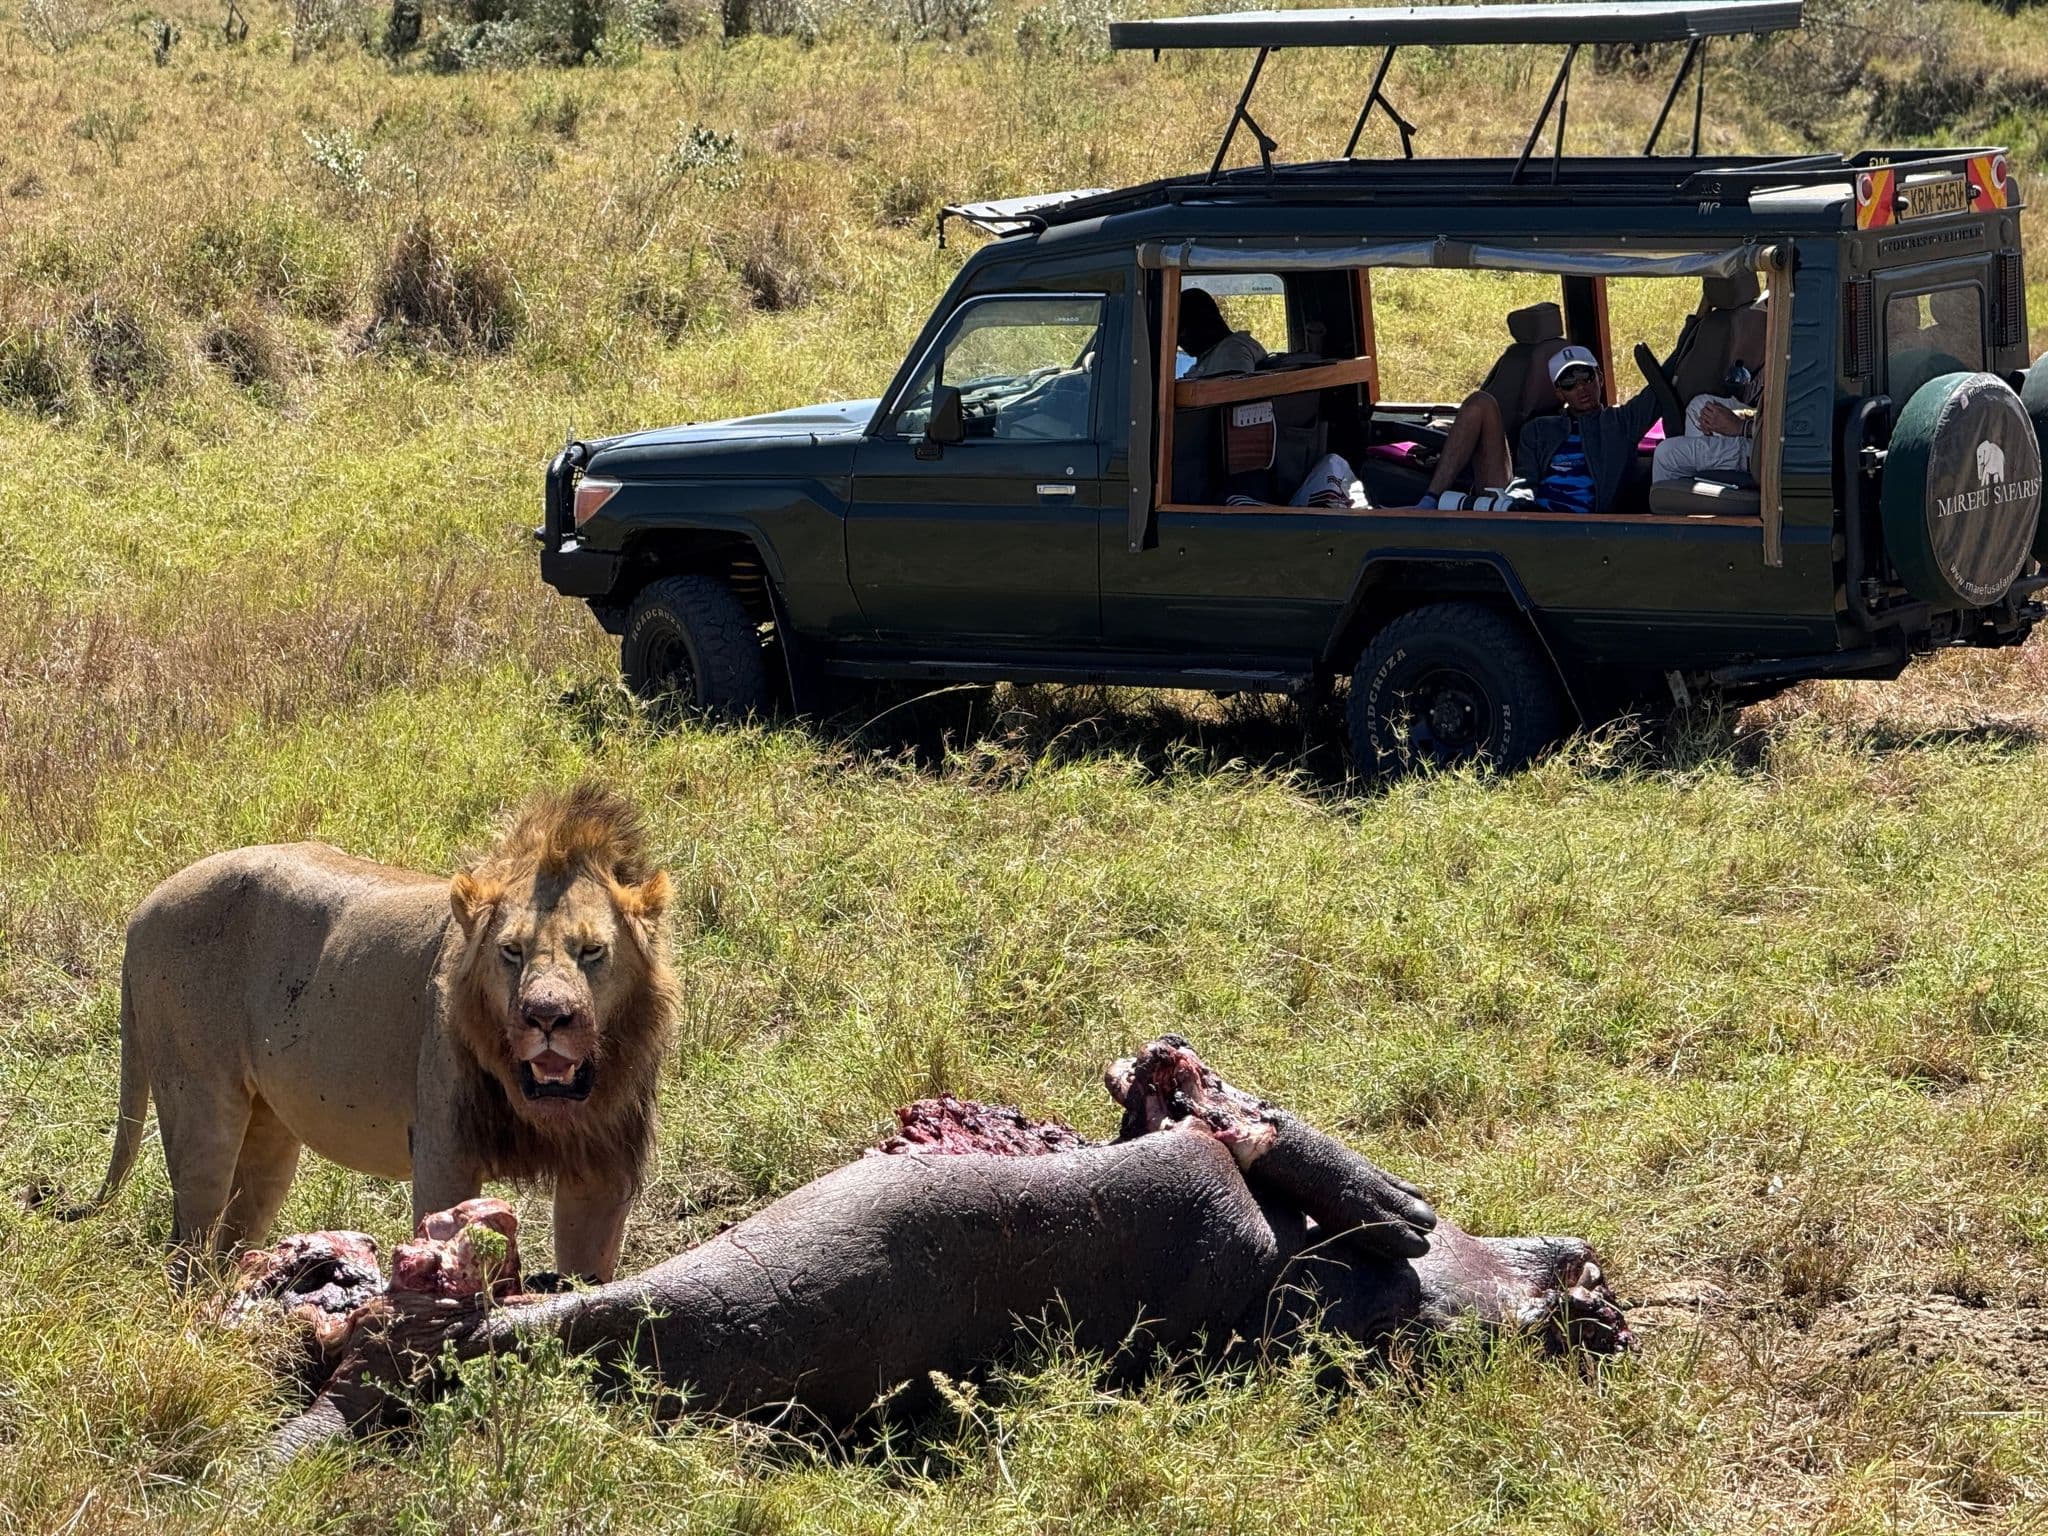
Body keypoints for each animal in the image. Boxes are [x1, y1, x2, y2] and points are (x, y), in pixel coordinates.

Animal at [81, 784, 677, 1281]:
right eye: (512, 951)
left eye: (592, 951)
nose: (547, 1017)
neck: (550, 1108)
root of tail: (144, 908)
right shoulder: (444, 1153)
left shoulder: (603, 1174)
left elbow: (590, 1278)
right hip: (200, 1109)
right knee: (186, 1247)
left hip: (269, 1131)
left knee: (231, 1243)